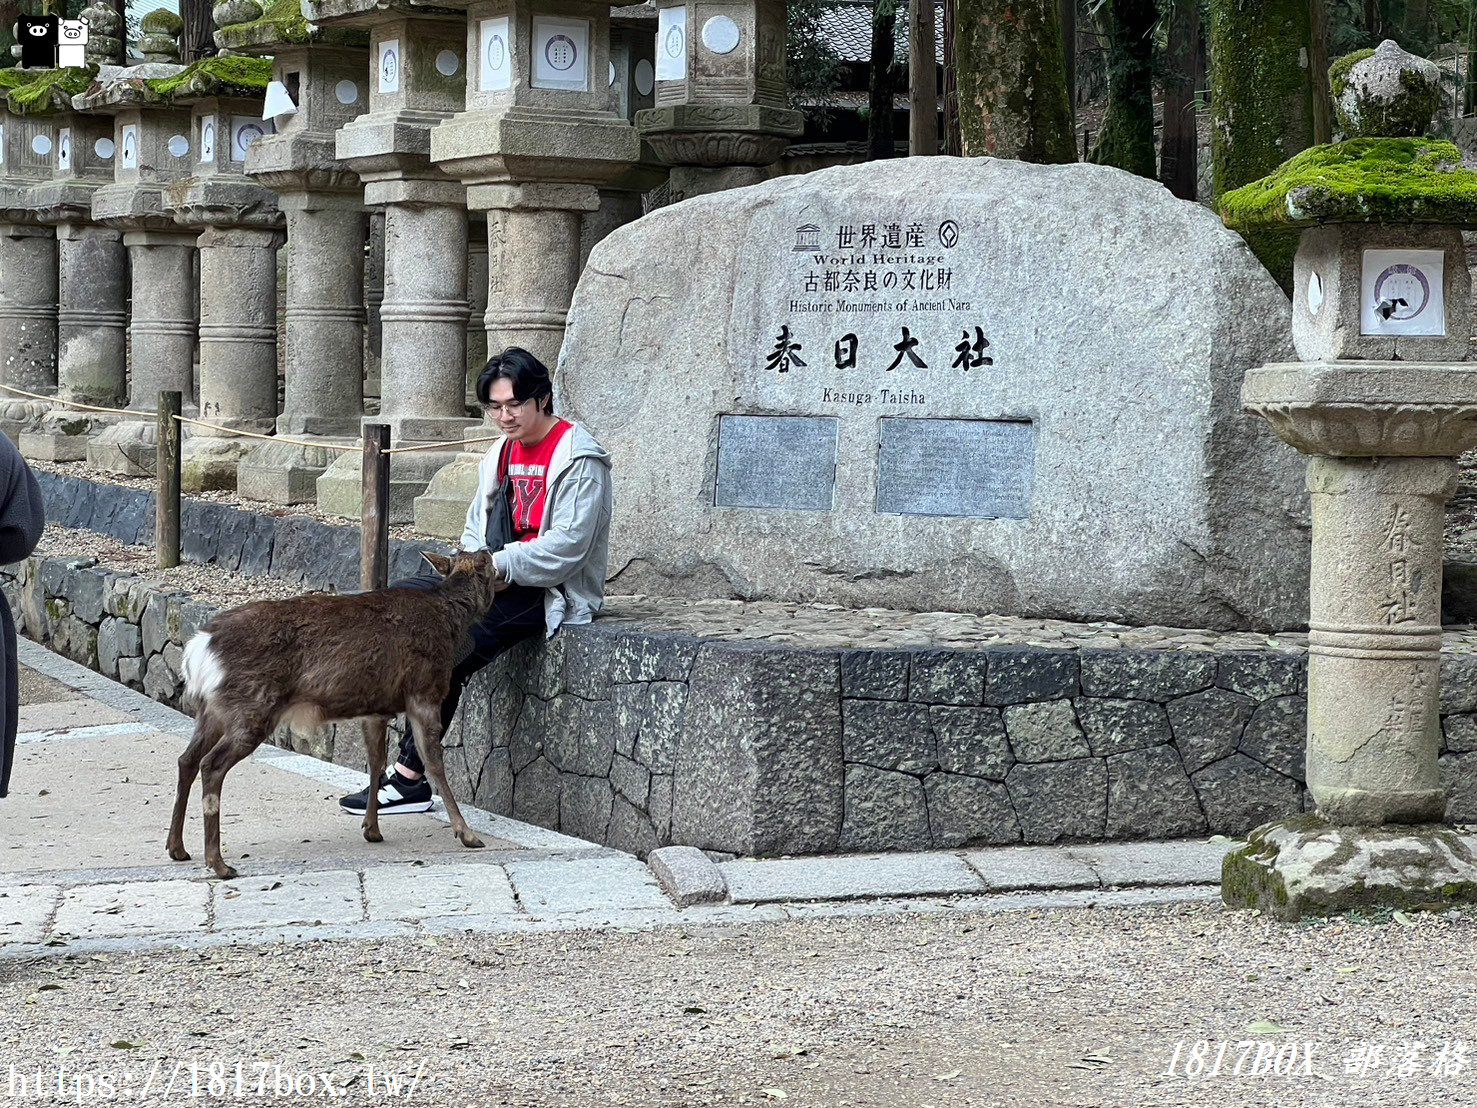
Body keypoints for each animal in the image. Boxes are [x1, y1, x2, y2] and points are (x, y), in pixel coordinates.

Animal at [170, 552, 499, 880]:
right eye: (491, 566)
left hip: (213, 710)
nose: (491, 557)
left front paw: (372, 829)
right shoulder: (425, 693)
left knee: (186, 759)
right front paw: (467, 834)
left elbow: (376, 762)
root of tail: (197, 650)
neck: (448, 622)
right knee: (211, 764)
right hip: (251, 707)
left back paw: (177, 848)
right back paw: (218, 863)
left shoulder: (376, 708)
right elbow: (434, 763)